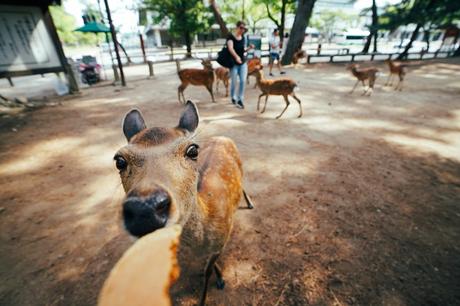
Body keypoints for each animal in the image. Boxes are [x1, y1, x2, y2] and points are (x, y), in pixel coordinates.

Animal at [113, 101, 253, 306]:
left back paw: (250, 203)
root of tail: (223, 137)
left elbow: (207, 271)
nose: (145, 209)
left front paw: (215, 286)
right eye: (119, 160)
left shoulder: (223, 240)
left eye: (193, 150)